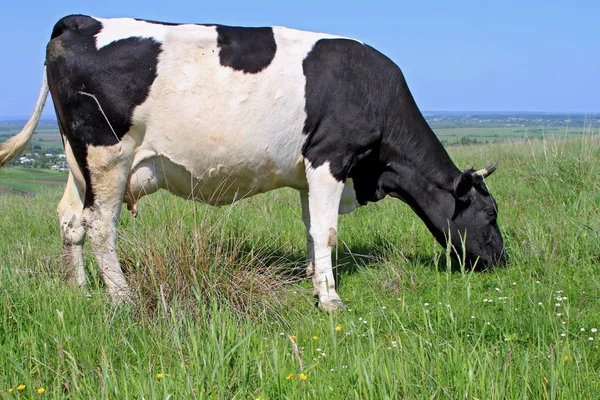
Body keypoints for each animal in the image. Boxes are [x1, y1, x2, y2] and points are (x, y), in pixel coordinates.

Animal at [0, 14, 506, 310]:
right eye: (490, 214)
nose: (503, 261)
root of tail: (82, 20)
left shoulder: (308, 172)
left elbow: (311, 228)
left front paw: (314, 282)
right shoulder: (330, 157)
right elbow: (328, 230)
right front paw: (331, 300)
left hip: (78, 161)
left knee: (71, 220)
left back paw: (80, 289)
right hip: (108, 155)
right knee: (101, 226)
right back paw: (122, 298)